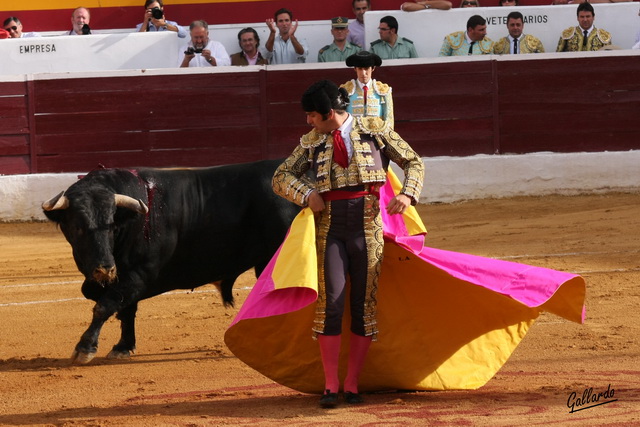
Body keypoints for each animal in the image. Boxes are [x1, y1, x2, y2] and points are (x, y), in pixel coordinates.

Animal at [43, 160, 298, 364]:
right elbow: (122, 308)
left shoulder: (140, 274)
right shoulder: (122, 276)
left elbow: (105, 305)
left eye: (112, 225)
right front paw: (123, 347)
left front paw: (84, 348)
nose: (105, 270)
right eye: (77, 227)